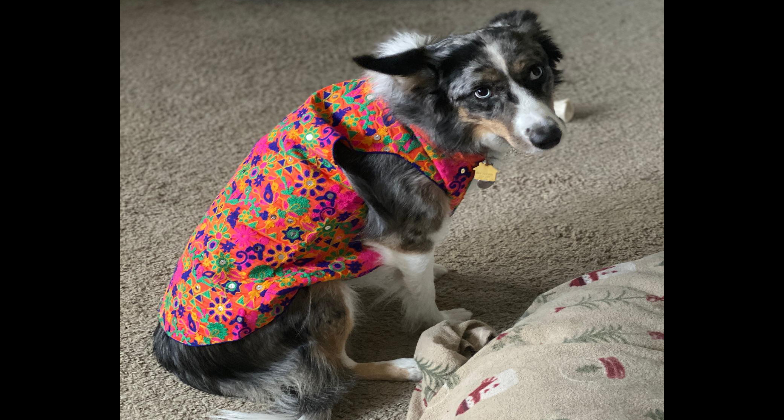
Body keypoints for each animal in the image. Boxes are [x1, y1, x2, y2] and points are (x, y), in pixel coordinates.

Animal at [150, 9, 560, 420]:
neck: (421, 116)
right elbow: (423, 298)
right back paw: (405, 366)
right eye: (482, 92)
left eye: (536, 71)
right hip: (319, 291)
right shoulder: (405, 235)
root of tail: (184, 363)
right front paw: (442, 319)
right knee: (341, 367)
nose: (550, 136)